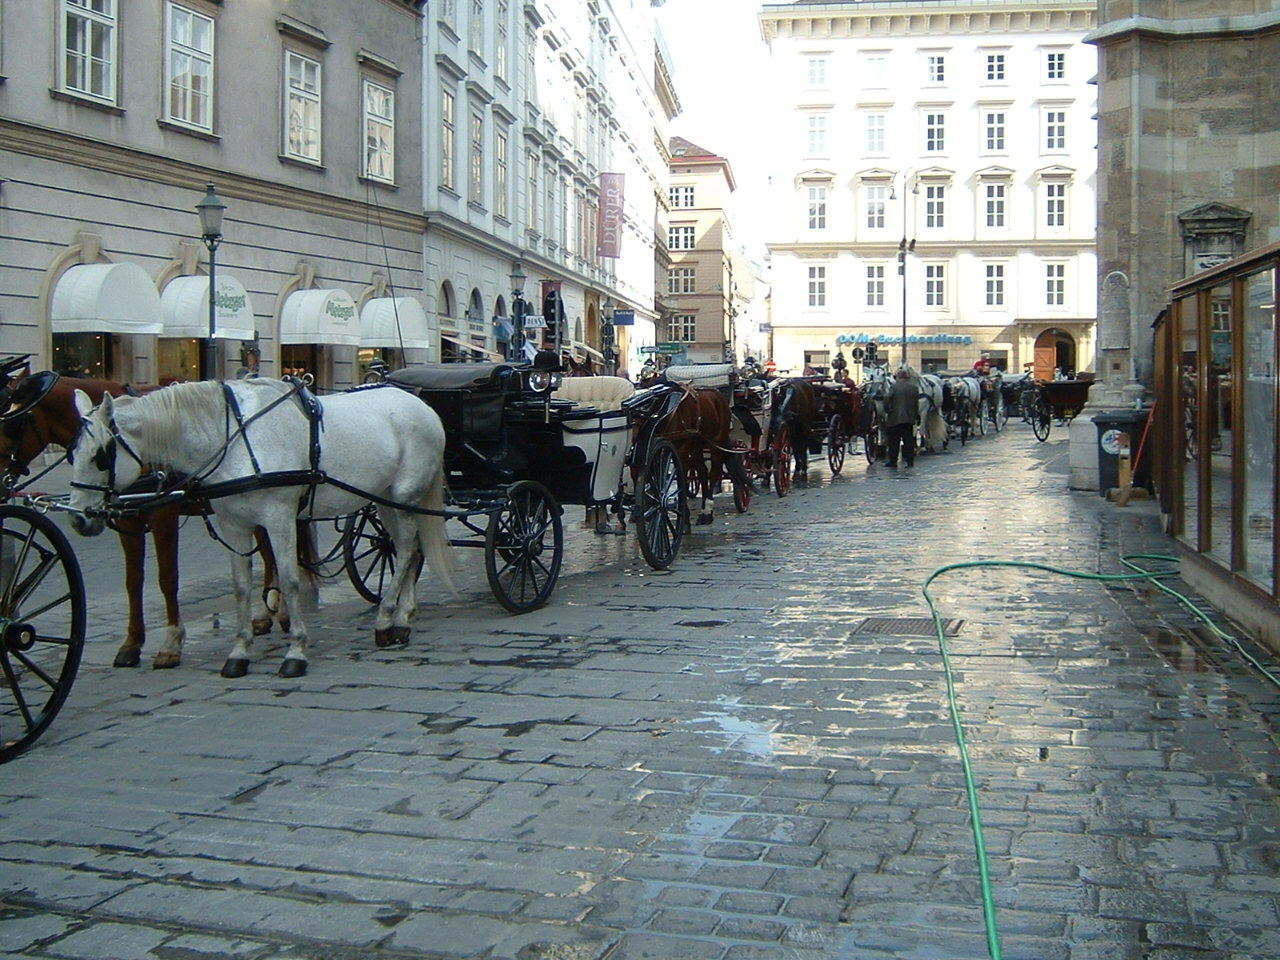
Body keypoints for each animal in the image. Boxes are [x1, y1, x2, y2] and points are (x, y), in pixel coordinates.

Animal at [0, 368, 309, 670]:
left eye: (11, 425)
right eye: (73, 454)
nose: (79, 520)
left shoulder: (165, 516)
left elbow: (167, 578)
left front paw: (171, 644)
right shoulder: (130, 523)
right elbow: (134, 581)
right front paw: (132, 644)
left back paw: (278, 615)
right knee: (269, 558)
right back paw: (264, 616)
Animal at [68, 378, 455, 680]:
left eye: (101, 455)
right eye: (71, 454)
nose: (78, 518)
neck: (234, 439)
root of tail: (420, 404)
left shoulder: (280, 519)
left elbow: (290, 581)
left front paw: (296, 652)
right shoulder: (233, 525)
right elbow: (241, 587)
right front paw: (239, 652)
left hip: (405, 495)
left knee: (404, 551)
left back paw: (387, 619)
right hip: (385, 499)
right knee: (409, 550)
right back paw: (401, 618)